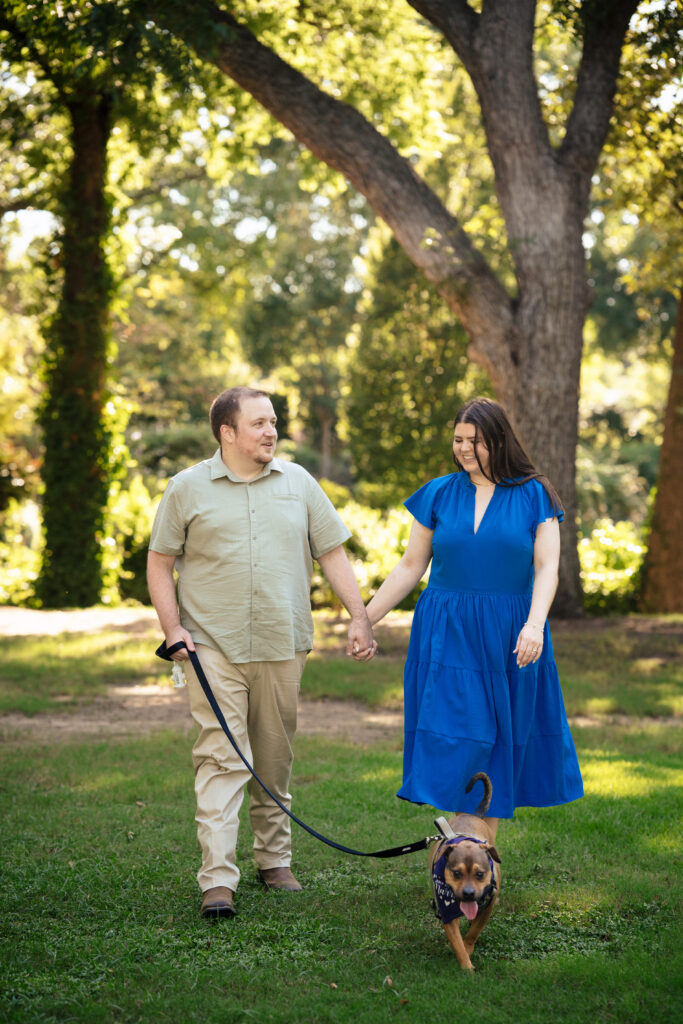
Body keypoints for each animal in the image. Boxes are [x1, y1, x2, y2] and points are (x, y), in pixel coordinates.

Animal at [428, 774, 501, 966]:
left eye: (480, 874)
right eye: (456, 873)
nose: (468, 893)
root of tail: (472, 815)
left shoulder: (488, 906)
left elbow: (474, 931)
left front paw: (469, 947)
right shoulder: (446, 912)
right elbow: (457, 942)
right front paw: (466, 966)